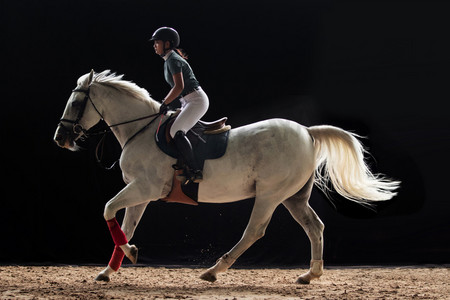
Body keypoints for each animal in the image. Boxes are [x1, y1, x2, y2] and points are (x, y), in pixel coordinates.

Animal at [53, 69, 400, 284]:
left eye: (76, 101)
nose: (61, 138)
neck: (142, 129)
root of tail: (307, 131)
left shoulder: (145, 188)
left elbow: (109, 210)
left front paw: (129, 254)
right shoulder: (140, 193)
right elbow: (125, 226)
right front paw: (110, 269)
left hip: (270, 195)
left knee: (254, 231)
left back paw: (213, 270)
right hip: (293, 197)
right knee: (315, 227)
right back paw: (309, 275)